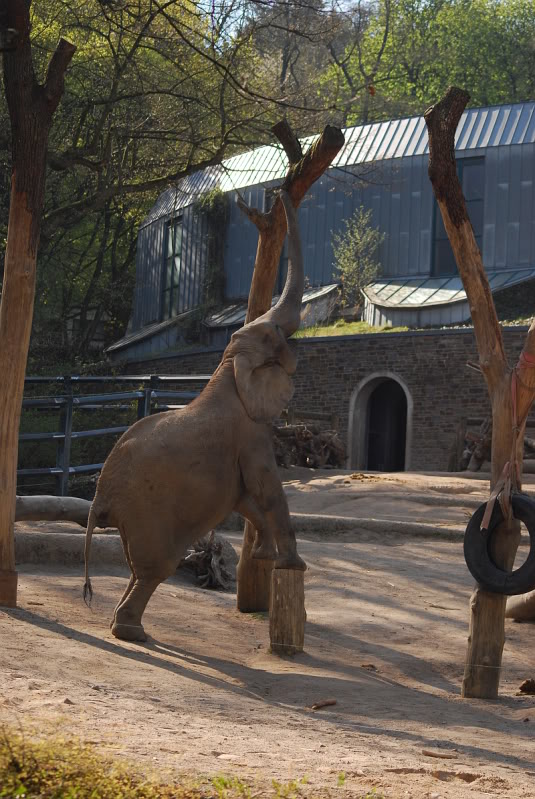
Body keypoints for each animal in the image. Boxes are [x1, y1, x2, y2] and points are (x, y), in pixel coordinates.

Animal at [83, 190, 306, 642]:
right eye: (275, 331)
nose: (279, 193)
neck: (229, 365)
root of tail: (99, 499)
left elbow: (246, 498)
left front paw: (267, 557)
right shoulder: (251, 434)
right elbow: (267, 487)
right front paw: (293, 565)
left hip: (135, 517)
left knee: (137, 567)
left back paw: (127, 628)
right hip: (146, 510)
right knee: (156, 567)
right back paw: (132, 634)